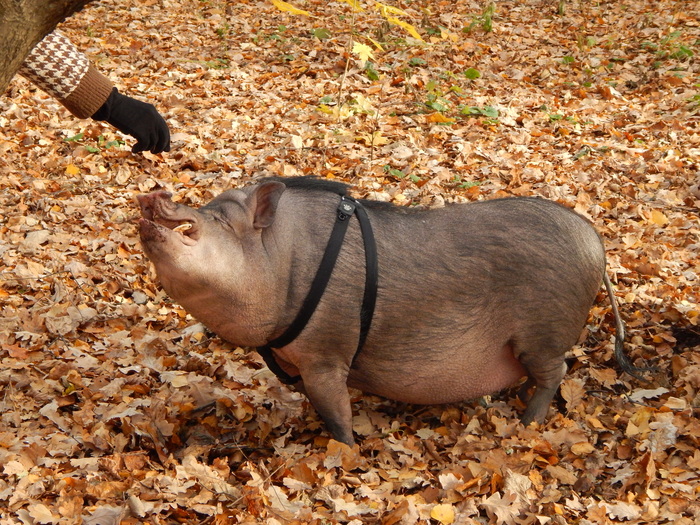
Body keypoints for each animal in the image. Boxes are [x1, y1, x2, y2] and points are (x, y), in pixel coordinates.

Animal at [137, 177, 640, 446]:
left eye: (221, 219)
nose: (151, 196)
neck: (283, 262)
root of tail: (595, 242)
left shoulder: (326, 354)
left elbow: (336, 412)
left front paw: (346, 450)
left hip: (542, 334)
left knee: (556, 374)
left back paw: (526, 422)